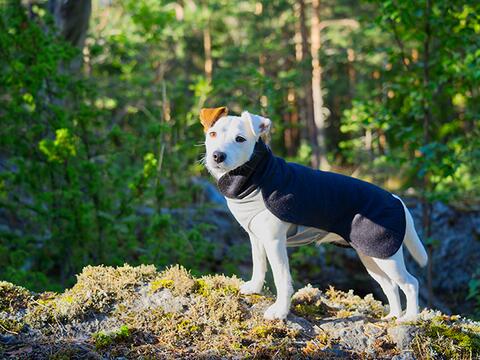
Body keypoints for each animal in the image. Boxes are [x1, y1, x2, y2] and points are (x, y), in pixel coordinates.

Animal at [199, 106, 428, 320]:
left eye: (240, 139)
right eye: (212, 134)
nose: (217, 155)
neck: (256, 178)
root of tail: (396, 198)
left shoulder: (275, 242)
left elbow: (282, 279)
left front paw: (280, 311)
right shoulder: (256, 238)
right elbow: (259, 264)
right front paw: (254, 288)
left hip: (388, 259)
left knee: (411, 283)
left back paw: (409, 318)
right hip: (371, 256)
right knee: (390, 286)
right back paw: (393, 317)